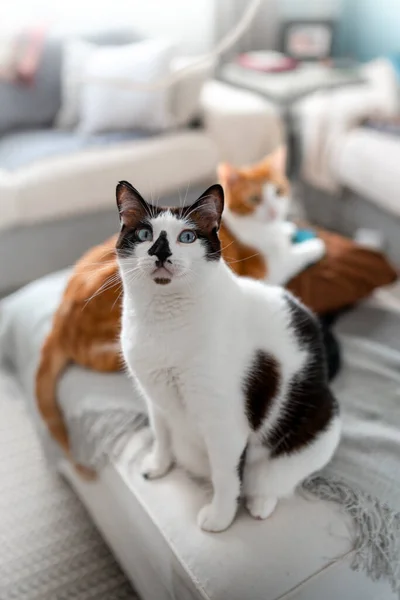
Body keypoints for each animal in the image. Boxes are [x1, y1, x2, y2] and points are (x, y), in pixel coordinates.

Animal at [116, 182, 340, 536]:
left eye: (187, 237)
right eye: (143, 234)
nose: (160, 252)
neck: (165, 320)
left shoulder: (225, 424)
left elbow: (225, 476)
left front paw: (220, 518)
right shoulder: (155, 397)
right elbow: (161, 435)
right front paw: (158, 465)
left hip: (320, 426)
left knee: (275, 478)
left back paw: (261, 501)